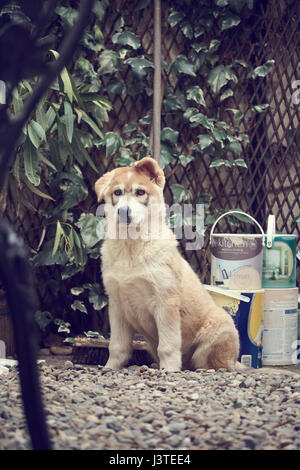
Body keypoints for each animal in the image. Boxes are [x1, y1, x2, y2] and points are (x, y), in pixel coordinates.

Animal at [95, 158, 240, 370]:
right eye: (117, 193)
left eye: (140, 192)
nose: (123, 212)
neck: (132, 247)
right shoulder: (117, 304)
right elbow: (117, 346)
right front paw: (110, 368)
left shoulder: (165, 302)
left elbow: (168, 344)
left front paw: (169, 370)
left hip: (219, 330)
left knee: (211, 363)